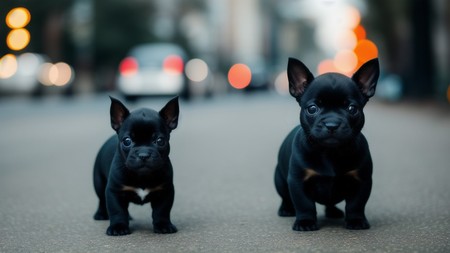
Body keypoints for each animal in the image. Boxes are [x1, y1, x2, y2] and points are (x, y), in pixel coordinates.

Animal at [93, 97, 179, 235]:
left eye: (160, 141)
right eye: (127, 141)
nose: (144, 154)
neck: (142, 176)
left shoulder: (165, 191)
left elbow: (162, 211)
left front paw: (163, 225)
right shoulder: (114, 191)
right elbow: (117, 210)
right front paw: (118, 227)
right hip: (99, 183)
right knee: (101, 199)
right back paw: (100, 214)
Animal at [274, 57, 380, 231]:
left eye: (352, 109)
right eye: (312, 109)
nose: (332, 124)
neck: (331, 152)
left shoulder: (362, 181)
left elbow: (356, 204)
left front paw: (356, 220)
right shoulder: (297, 181)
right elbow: (304, 204)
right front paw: (305, 222)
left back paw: (333, 212)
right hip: (280, 181)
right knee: (286, 197)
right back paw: (286, 209)